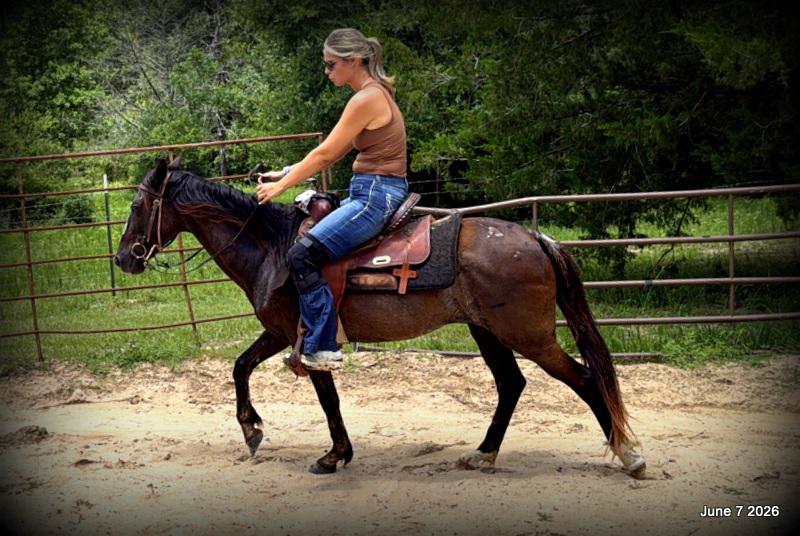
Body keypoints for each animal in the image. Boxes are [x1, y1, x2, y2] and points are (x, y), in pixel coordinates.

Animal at [114, 158, 646, 478]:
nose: (123, 259)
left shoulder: (308, 339)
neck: (274, 247)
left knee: (583, 378)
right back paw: (483, 453)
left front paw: (334, 456)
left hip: (529, 336)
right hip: (487, 331)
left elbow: (327, 399)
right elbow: (240, 366)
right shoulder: (280, 332)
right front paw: (251, 431)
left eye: (138, 204)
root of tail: (536, 238)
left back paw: (630, 456)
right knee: (511, 385)